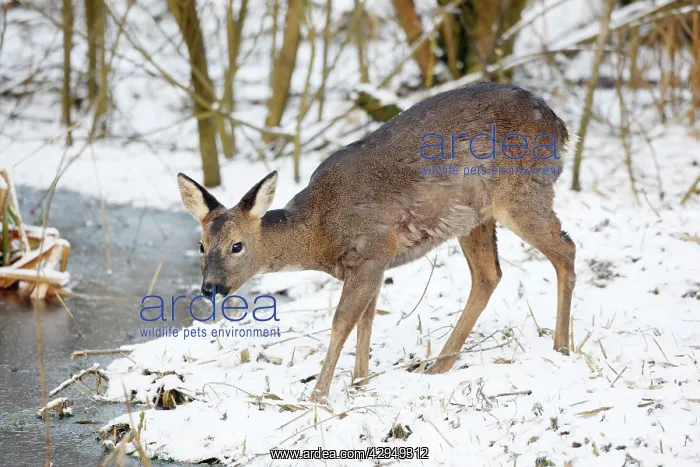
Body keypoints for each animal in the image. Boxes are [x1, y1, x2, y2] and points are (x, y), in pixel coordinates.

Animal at [177, 81, 577, 404]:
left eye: (237, 246)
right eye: (201, 246)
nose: (210, 287)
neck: (319, 233)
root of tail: (561, 127)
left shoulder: (373, 249)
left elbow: (342, 322)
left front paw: (317, 397)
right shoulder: (370, 263)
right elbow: (365, 322)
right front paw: (360, 383)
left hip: (522, 191)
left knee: (565, 250)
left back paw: (561, 347)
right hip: (475, 216)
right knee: (488, 274)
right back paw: (438, 367)